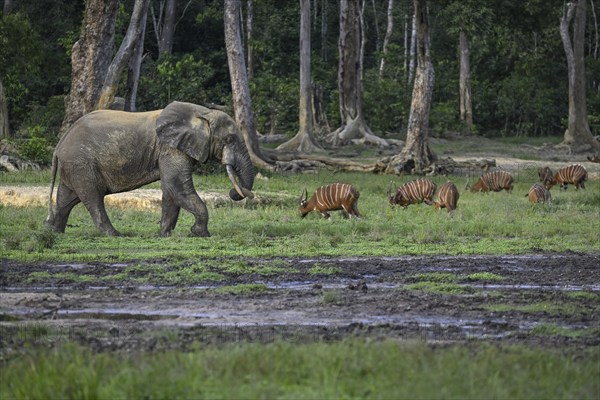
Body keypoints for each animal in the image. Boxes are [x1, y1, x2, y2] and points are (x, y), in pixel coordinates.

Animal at [45, 101, 255, 236]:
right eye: (230, 139)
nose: (233, 193)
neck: (203, 113)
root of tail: (59, 146)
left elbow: (171, 190)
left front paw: (164, 235)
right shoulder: (170, 148)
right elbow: (177, 186)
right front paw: (199, 233)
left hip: (74, 166)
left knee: (66, 198)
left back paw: (54, 233)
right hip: (81, 165)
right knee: (93, 198)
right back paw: (115, 235)